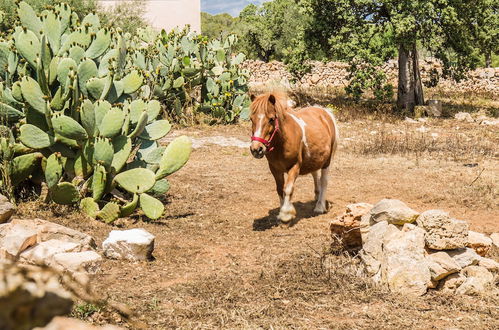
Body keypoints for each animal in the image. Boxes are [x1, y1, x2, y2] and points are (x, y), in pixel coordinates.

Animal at [250, 91, 340, 223]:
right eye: (251, 119)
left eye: (271, 119)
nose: (256, 149)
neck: (282, 141)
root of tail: (324, 112)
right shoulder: (275, 169)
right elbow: (279, 189)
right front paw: (280, 212)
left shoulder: (294, 167)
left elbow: (288, 189)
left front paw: (286, 214)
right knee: (315, 174)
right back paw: (317, 195)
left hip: (326, 162)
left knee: (324, 181)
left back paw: (320, 206)